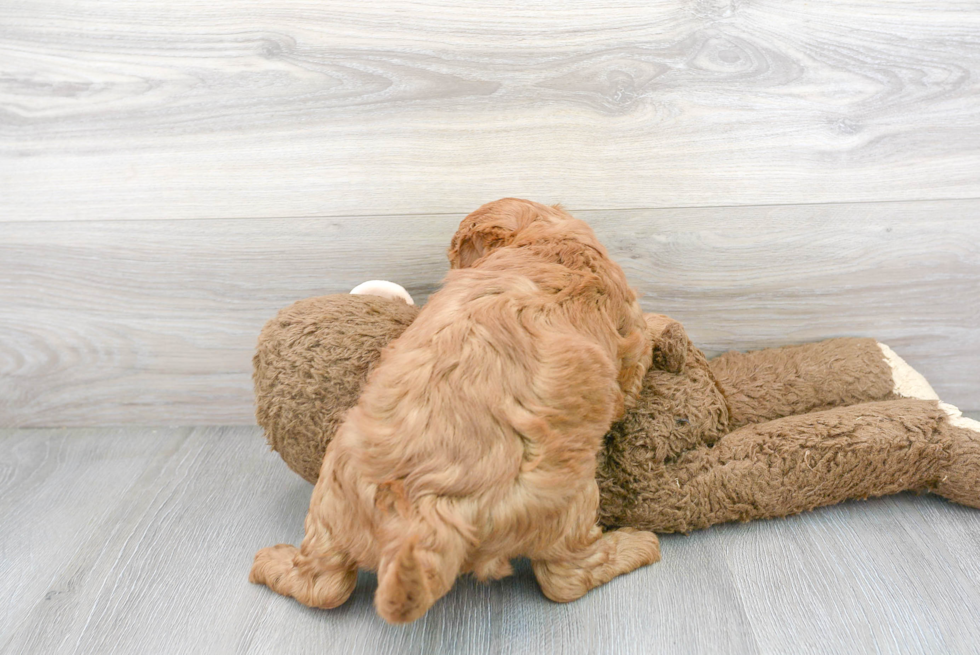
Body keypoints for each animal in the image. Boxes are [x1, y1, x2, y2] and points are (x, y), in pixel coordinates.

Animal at [249, 197, 664, 624]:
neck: (545, 243)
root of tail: (421, 515)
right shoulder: (627, 338)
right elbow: (636, 364)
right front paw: (661, 323)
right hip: (568, 502)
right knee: (565, 578)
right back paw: (634, 547)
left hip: (330, 502)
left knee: (323, 584)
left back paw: (271, 564)